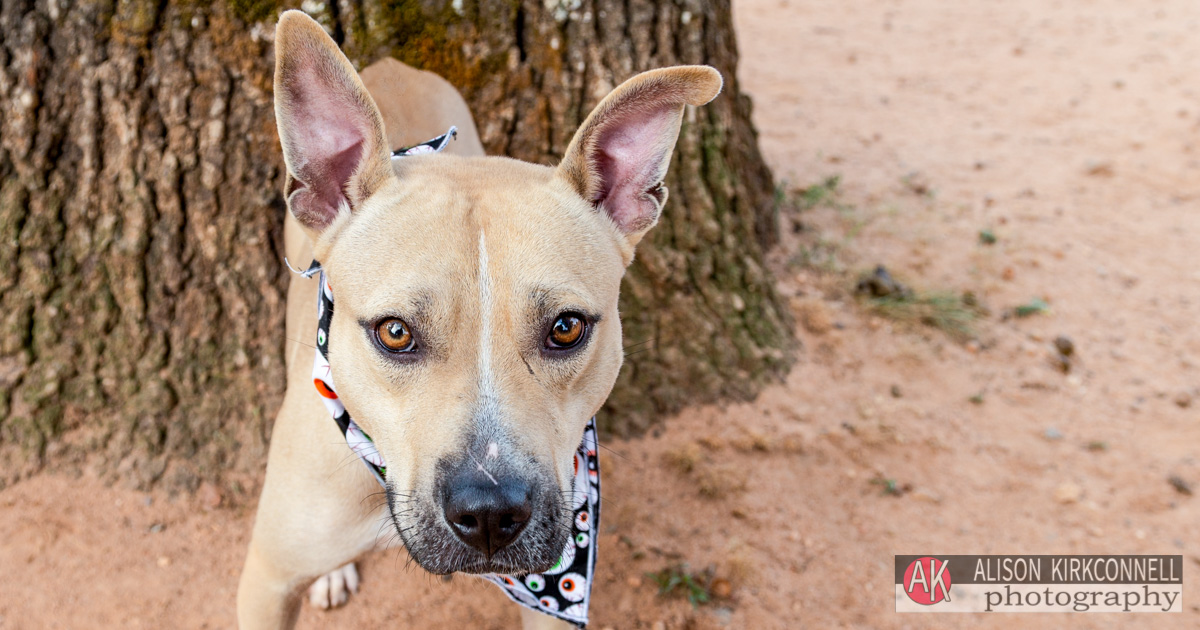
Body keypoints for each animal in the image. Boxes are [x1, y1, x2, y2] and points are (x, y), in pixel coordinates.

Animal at [238, 9, 715, 628]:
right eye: (395, 332)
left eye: (566, 328)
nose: (489, 513)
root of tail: (390, 66)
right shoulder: (267, 582)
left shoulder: (550, 595)